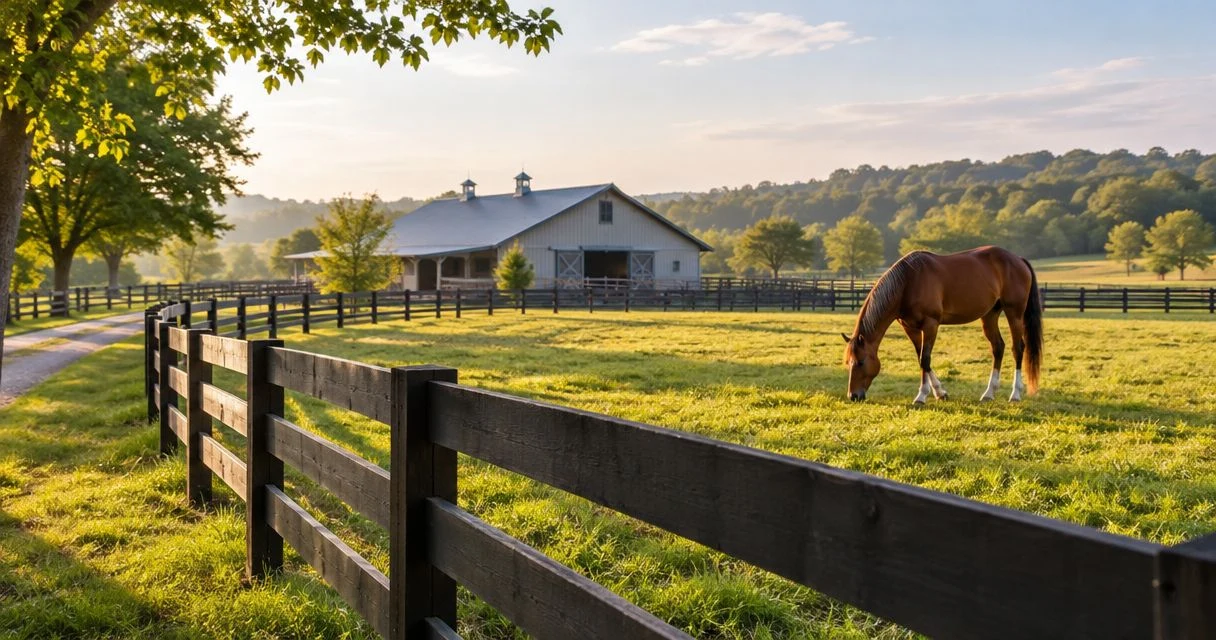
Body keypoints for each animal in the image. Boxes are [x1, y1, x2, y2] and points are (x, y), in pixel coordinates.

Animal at [841, 246, 1042, 404]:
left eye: (861, 362)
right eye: (848, 362)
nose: (853, 396)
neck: (908, 282)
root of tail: (1018, 259)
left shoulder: (931, 324)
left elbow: (925, 358)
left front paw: (922, 396)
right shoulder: (910, 328)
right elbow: (921, 358)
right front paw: (940, 392)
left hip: (1014, 313)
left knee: (1018, 348)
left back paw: (1015, 394)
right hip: (990, 315)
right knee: (998, 347)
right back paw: (988, 393)